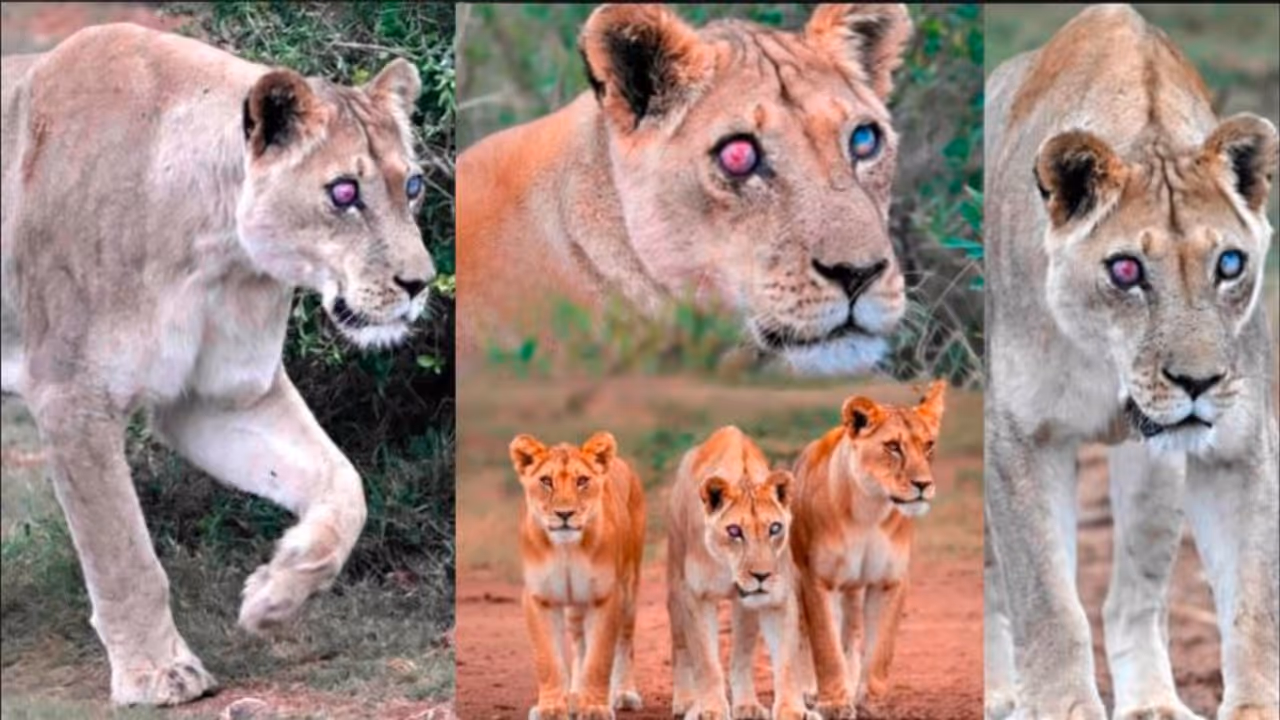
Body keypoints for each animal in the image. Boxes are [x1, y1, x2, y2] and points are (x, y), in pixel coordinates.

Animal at [0, 24, 437, 706]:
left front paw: (273, 597)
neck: (218, 253)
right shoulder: (72, 394)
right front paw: (157, 673)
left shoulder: (219, 398)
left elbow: (346, 488)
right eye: (343, 192)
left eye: (411, 186)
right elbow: (124, 553)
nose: (420, 284)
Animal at [509, 431, 646, 720]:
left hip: (630, 586)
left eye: (582, 480)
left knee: (625, 642)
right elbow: (547, 660)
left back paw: (624, 694)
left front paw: (595, 707)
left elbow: (599, 659)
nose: (564, 514)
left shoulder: (606, 596)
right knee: (580, 643)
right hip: (575, 604)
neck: (566, 550)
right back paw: (574, 696)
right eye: (546, 481)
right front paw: (551, 708)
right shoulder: (539, 598)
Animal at [666, 425, 817, 720]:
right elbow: (706, 661)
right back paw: (686, 700)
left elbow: (782, 659)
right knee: (680, 647)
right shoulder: (696, 596)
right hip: (675, 585)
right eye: (734, 531)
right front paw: (710, 709)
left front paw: (788, 709)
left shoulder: (777, 598)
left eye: (774, 528)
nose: (762, 576)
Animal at [789, 380, 946, 719]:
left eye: (929, 445)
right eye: (893, 447)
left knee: (850, 634)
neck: (870, 510)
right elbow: (825, 645)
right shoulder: (818, 580)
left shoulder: (890, 581)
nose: (923, 485)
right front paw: (834, 703)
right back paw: (808, 690)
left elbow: (880, 651)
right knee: (803, 634)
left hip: (852, 589)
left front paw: (871, 704)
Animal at [984, 5, 1279, 720]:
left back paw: (1153, 702)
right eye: (1125, 270)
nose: (1198, 382)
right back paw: (1002, 692)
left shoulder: (1239, 447)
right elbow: (1047, 603)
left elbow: (1255, 606)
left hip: (1154, 473)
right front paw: (1059, 706)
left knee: (1134, 601)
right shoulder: (1019, 438)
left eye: (1229, 263)